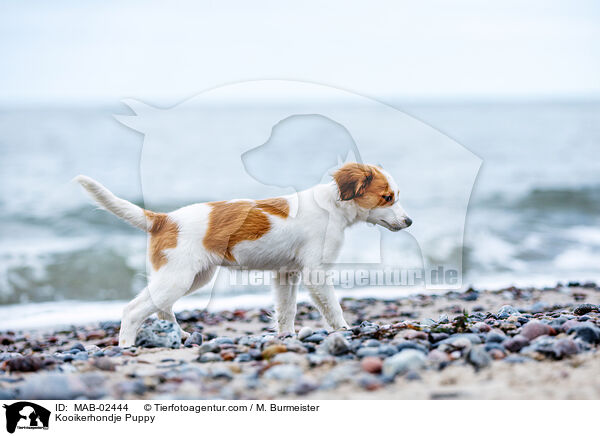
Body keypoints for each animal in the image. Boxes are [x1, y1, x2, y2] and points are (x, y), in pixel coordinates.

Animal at [75, 162, 410, 346]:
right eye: (387, 197)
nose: (409, 222)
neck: (332, 206)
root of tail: (164, 218)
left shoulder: (287, 273)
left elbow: (286, 311)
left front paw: (286, 337)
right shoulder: (315, 272)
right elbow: (332, 307)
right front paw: (344, 330)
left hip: (191, 278)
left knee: (160, 308)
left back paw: (178, 337)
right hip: (177, 278)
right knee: (132, 311)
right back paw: (126, 346)